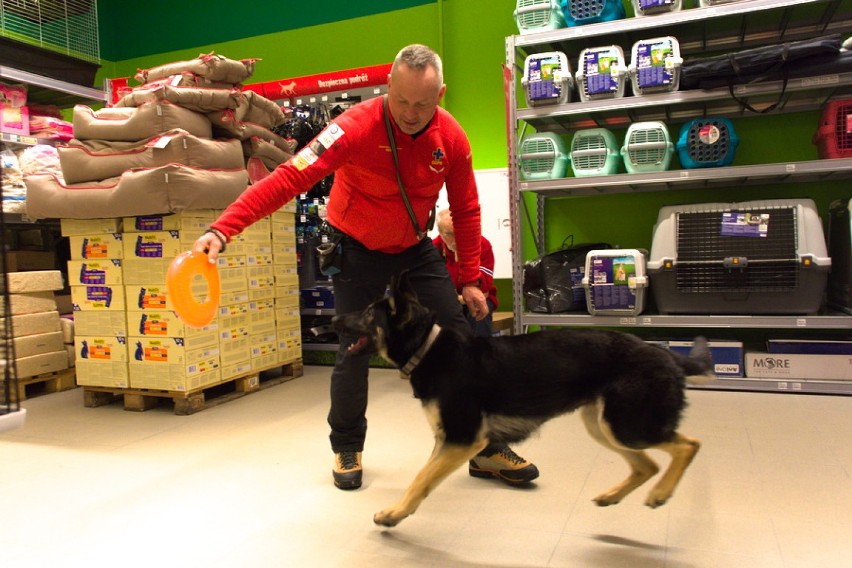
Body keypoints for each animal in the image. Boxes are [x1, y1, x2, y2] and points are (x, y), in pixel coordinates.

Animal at [332, 272, 712, 528]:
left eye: (369, 314)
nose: (333, 318)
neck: (427, 348)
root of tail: (666, 355)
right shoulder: (449, 442)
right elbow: (423, 477)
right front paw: (399, 512)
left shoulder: (460, 440)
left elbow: (420, 480)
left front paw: (395, 513)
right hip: (605, 426)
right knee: (647, 465)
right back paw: (614, 495)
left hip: (626, 425)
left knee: (688, 445)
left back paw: (661, 492)